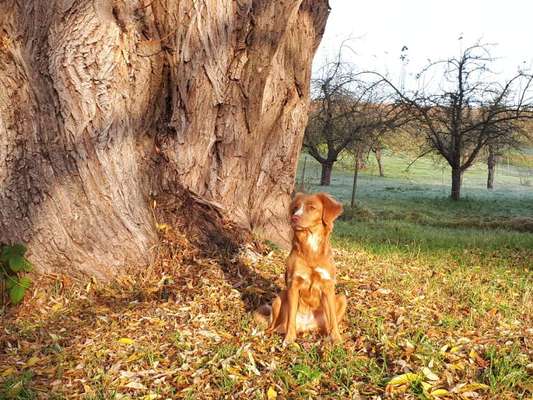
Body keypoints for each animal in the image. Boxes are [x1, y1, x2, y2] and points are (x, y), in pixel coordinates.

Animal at [256, 191, 348, 344]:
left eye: (312, 207)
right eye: (295, 208)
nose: (294, 217)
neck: (311, 248)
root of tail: (306, 326)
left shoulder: (328, 286)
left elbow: (334, 320)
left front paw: (337, 338)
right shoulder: (294, 285)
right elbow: (291, 317)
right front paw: (289, 338)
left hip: (341, 298)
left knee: (328, 324)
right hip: (280, 297)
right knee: (274, 326)